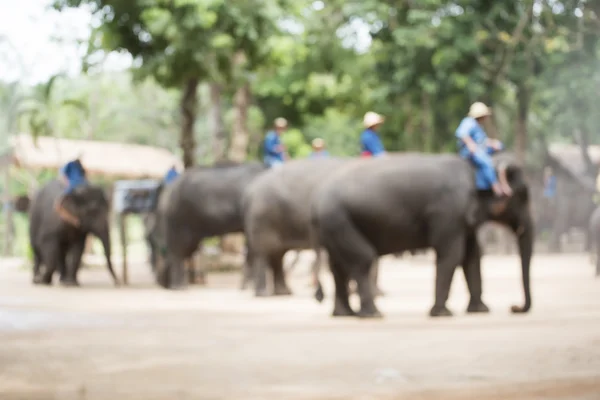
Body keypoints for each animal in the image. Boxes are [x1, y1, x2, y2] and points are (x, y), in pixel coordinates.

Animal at [144, 161, 266, 290]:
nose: (161, 282)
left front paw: (247, 287)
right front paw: (248, 287)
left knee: (183, 249)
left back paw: (173, 285)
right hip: (177, 216)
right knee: (178, 249)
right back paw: (179, 287)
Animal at [240, 158, 384, 298]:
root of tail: (249, 191)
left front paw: (375, 293)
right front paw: (371, 293)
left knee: (277, 254)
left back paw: (284, 292)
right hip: (263, 217)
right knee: (264, 252)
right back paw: (263, 293)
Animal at [312, 152, 532, 318]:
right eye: (524, 195)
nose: (514, 307)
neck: (478, 166)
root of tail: (317, 200)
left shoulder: (462, 219)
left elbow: (473, 257)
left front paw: (480, 310)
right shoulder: (448, 213)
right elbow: (451, 254)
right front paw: (442, 313)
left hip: (334, 227)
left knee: (338, 267)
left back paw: (344, 314)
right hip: (340, 222)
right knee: (363, 259)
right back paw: (373, 314)